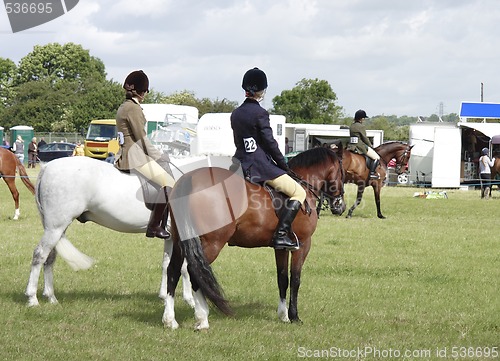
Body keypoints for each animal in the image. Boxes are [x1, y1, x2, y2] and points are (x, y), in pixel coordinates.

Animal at [162, 146, 346, 330]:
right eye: (342, 171)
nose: (340, 206)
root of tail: (190, 178)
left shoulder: (282, 247)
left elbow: (282, 278)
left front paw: (283, 315)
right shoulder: (303, 244)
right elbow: (295, 279)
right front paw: (294, 316)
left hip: (179, 241)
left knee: (173, 271)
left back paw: (170, 320)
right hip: (212, 243)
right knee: (195, 273)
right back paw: (202, 319)